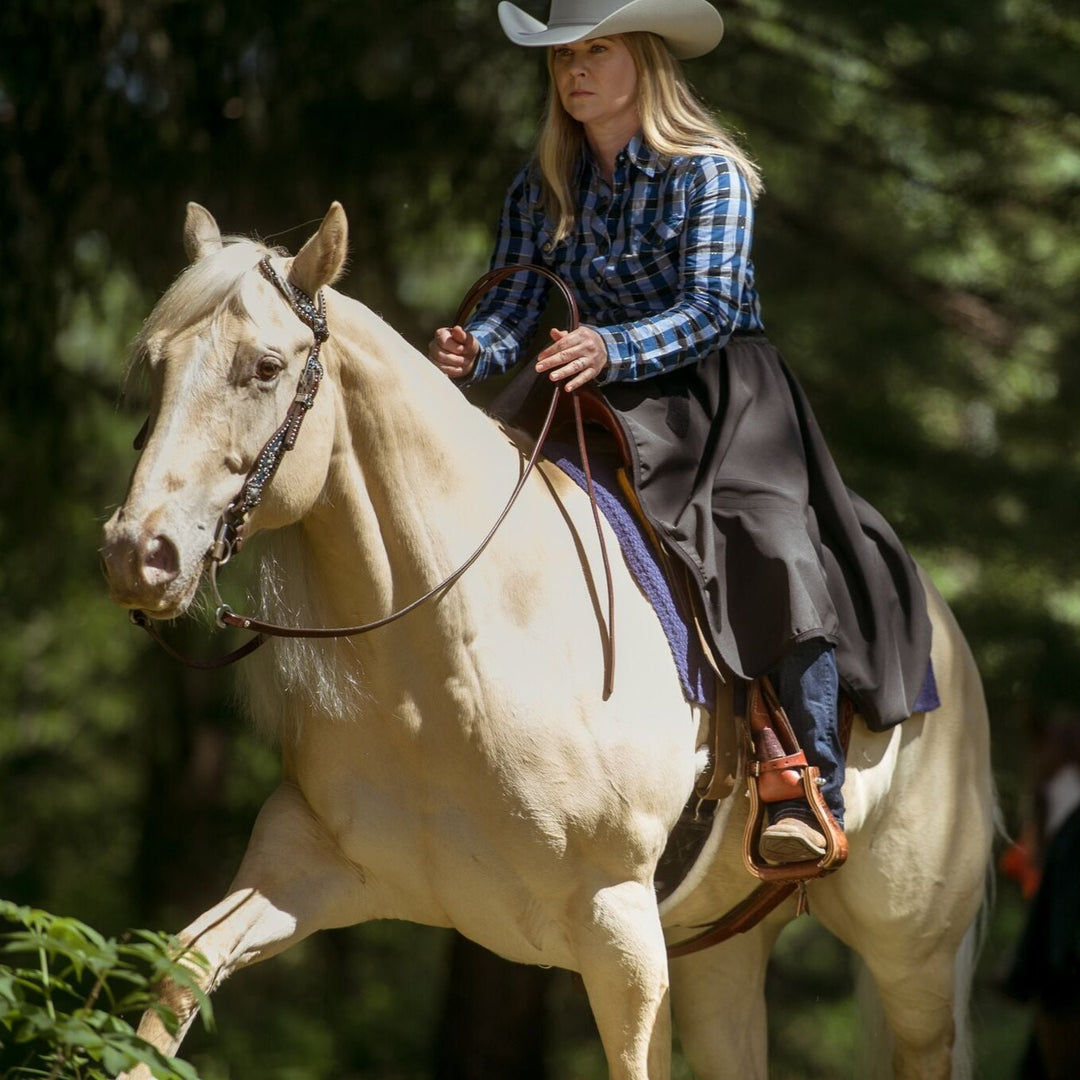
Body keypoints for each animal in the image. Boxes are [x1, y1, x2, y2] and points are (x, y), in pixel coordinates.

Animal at [101, 204, 993, 1080]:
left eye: (264, 367)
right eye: (158, 363)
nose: (139, 554)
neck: (447, 669)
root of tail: (944, 630)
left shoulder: (621, 937)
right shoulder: (307, 871)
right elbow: (180, 974)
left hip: (913, 961)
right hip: (720, 956)